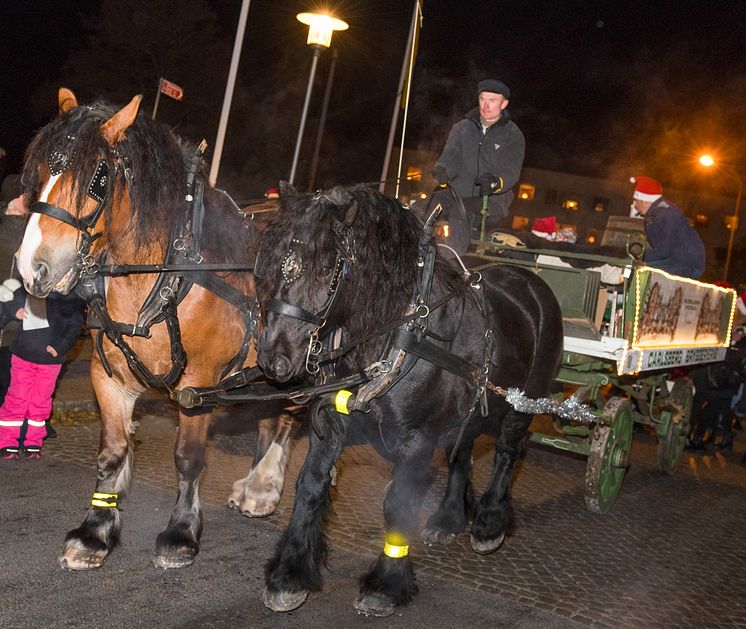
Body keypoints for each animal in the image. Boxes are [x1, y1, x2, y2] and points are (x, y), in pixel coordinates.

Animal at [13, 89, 294, 576]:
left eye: (97, 179)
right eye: (39, 172)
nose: (33, 269)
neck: (166, 275)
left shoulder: (198, 386)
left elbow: (188, 458)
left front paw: (181, 534)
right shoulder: (107, 377)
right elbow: (111, 452)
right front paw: (95, 532)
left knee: (293, 419)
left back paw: (264, 486)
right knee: (269, 414)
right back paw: (254, 485)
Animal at [253, 184, 560, 616]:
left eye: (326, 269)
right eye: (277, 262)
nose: (274, 358)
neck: (399, 334)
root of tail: (532, 282)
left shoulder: (418, 440)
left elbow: (398, 503)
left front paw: (385, 585)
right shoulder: (331, 425)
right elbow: (310, 484)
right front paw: (289, 575)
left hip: (523, 404)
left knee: (506, 452)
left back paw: (488, 522)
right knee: (462, 453)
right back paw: (448, 518)